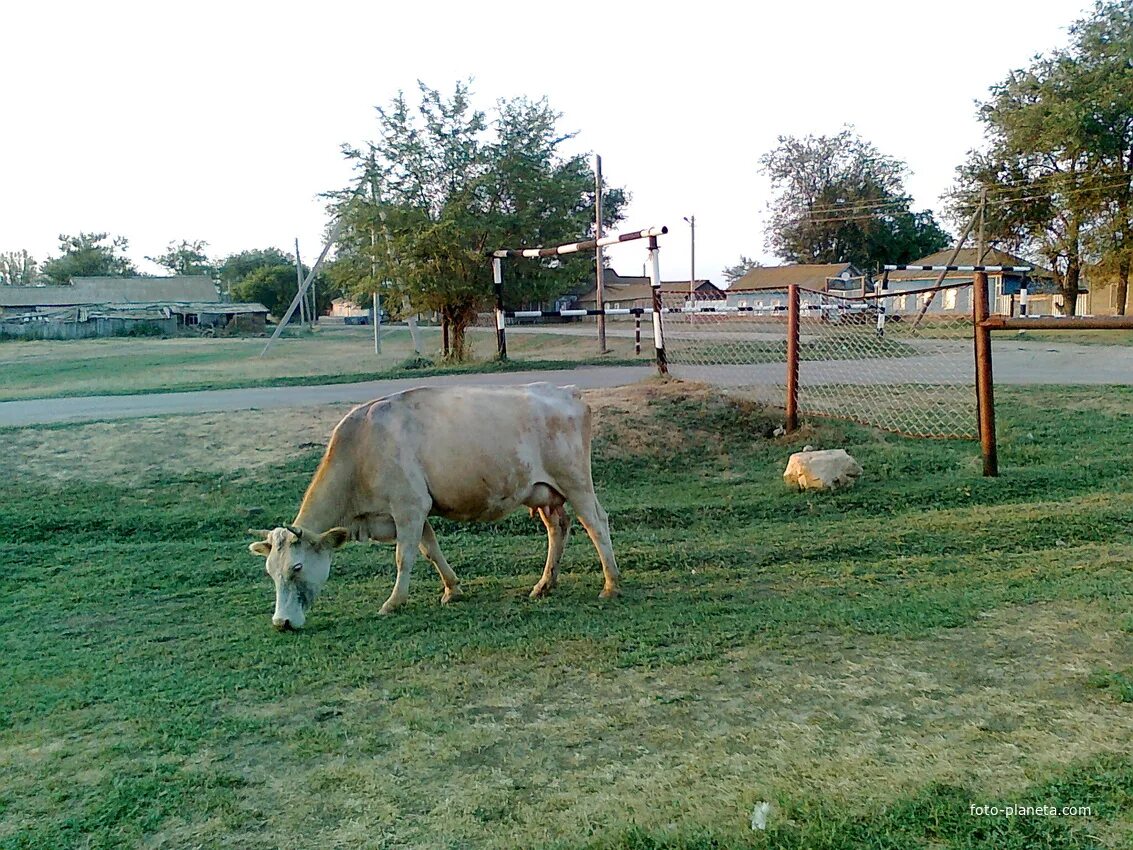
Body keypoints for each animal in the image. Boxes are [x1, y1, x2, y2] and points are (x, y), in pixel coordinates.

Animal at [246, 383, 620, 630]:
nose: (280, 622)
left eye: (296, 567)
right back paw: (544, 585)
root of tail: (565, 391)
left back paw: (611, 584)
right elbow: (430, 549)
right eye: (269, 571)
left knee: (595, 523)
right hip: (543, 493)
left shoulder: (409, 506)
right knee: (558, 528)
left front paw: (393, 602)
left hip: (575, 480)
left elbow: (405, 557)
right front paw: (452, 589)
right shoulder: (414, 510)